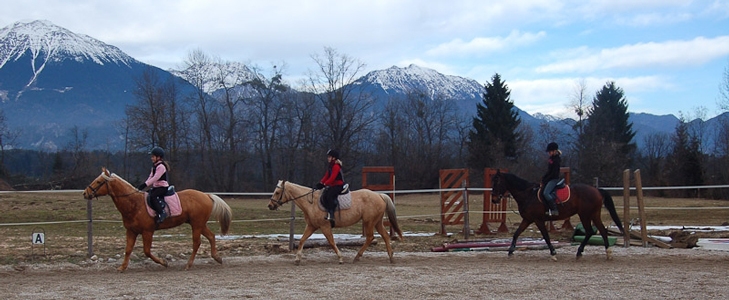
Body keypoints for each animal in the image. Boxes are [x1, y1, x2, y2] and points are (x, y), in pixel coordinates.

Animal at [83, 168, 232, 270]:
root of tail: (206, 195)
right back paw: (217, 258)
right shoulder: (131, 231)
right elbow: (128, 250)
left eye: (99, 181)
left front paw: (164, 262)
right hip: (199, 224)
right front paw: (122, 267)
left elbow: (147, 251)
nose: (85, 193)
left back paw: (188, 265)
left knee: (197, 243)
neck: (134, 204)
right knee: (211, 236)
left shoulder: (147, 231)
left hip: (196, 224)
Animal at [268, 179, 404, 264]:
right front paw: (297, 259)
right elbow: (302, 240)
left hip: (369, 222)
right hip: (376, 222)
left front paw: (340, 258)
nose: (270, 206)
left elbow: (332, 242)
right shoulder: (312, 226)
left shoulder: (324, 226)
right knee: (385, 236)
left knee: (370, 237)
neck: (311, 202)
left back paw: (357, 257)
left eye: (277, 192)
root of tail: (380, 195)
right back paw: (391, 257)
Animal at [490, 171, 620, 260]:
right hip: (594, 214)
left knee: (589, 231)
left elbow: (546, 236)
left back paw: (580, 252)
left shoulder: (538, 220)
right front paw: (510, 251)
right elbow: (516, 234)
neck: (528, 194)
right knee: (602, 230)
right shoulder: (527, 219)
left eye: (497, 182)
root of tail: (597, 190)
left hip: (585, 215)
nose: (494, 200)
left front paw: (553, 253)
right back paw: (608, 253)